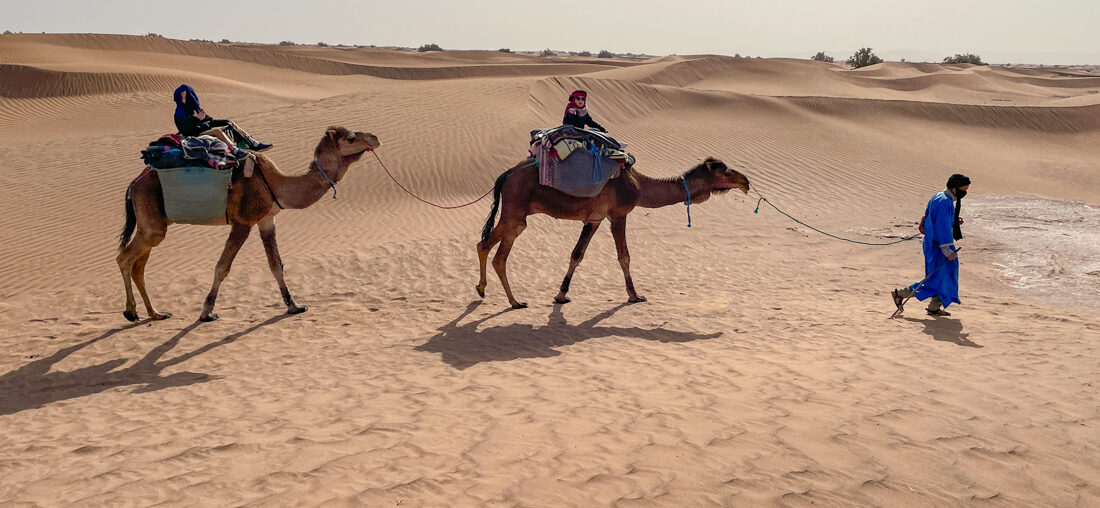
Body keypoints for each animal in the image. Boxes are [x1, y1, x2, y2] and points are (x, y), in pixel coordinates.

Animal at [117, 125, 380, 321]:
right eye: (351, 137)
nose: (375, 137)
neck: (276, 185)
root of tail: (133, 184)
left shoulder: (266, 219)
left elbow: (276, 265)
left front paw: (294, 305)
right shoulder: (243, 222)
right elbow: (222, 267)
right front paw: (206, 313)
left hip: (153, 223)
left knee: (138, 265)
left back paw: (155, 313)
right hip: (151, 218)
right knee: (124, 257)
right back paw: (131, 312)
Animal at [477, 157, 752, 310]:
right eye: (725, 170)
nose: (746, 181)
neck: (640, 186)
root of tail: (506, 175)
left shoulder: (595, 219)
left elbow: (577, 254)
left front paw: (561, 295)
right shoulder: (618, 214)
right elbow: (624, 256)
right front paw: (634, 295)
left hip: (514, 211)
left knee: (486, 245)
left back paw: (484, 291)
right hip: (516, 210)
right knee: (496, 253)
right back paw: (514, 302)